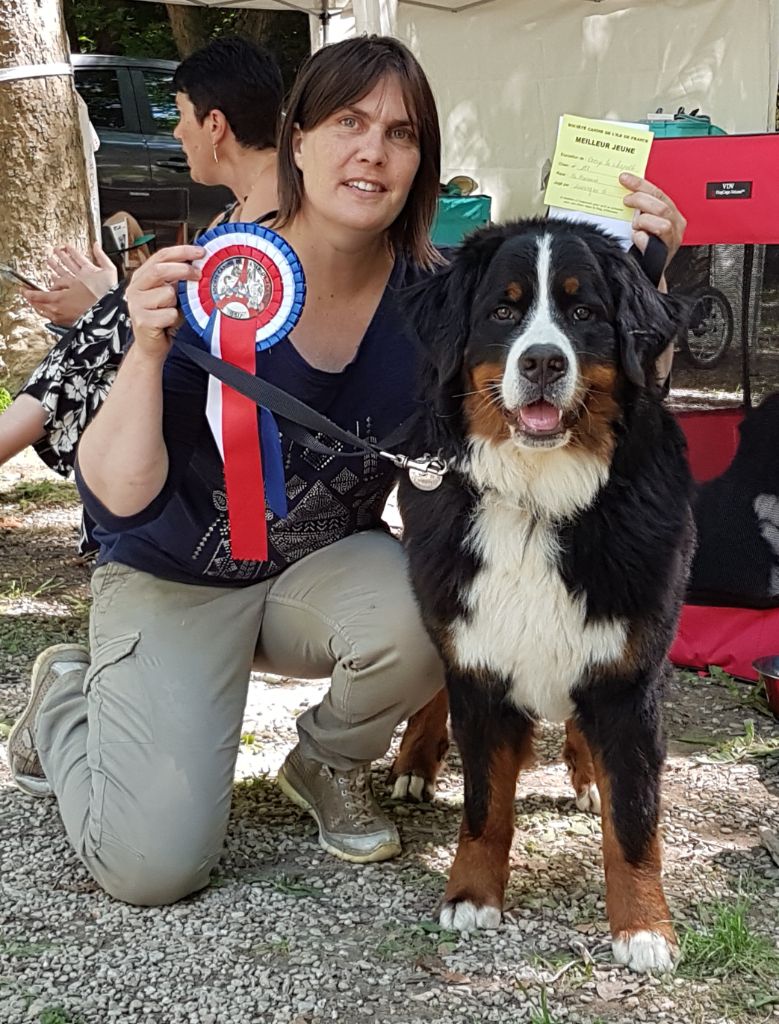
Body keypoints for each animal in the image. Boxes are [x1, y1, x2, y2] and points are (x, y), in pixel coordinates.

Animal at [395, 220, 691, 970]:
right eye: (503, 312)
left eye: (583, 311)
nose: (542, 364)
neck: (538, 501)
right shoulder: (477, 660)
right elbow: (484, 803)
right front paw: (471, 896)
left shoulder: (627, 675)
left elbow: (634, 819)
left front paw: (644, 928)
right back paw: (413, 763)